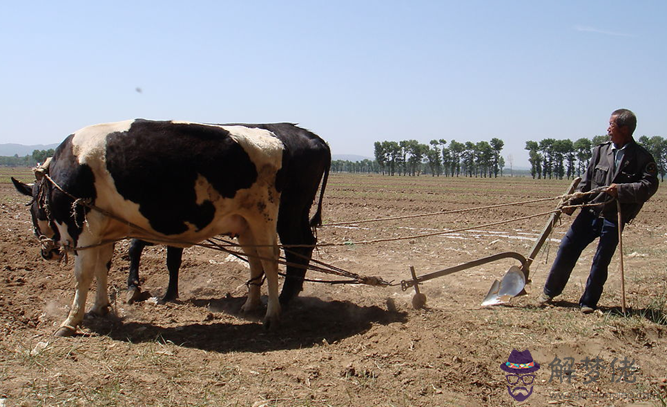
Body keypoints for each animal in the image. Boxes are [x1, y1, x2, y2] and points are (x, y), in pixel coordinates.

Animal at [126, 124, 332, 306]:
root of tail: (315, 139)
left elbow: (156, 253)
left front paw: (149, 291)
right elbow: (157, 254)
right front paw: (156, 292)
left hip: (287, 215)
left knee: (295, 248)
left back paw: (284, 297)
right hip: (300, 211)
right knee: (307, 243)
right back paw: (292, 292)